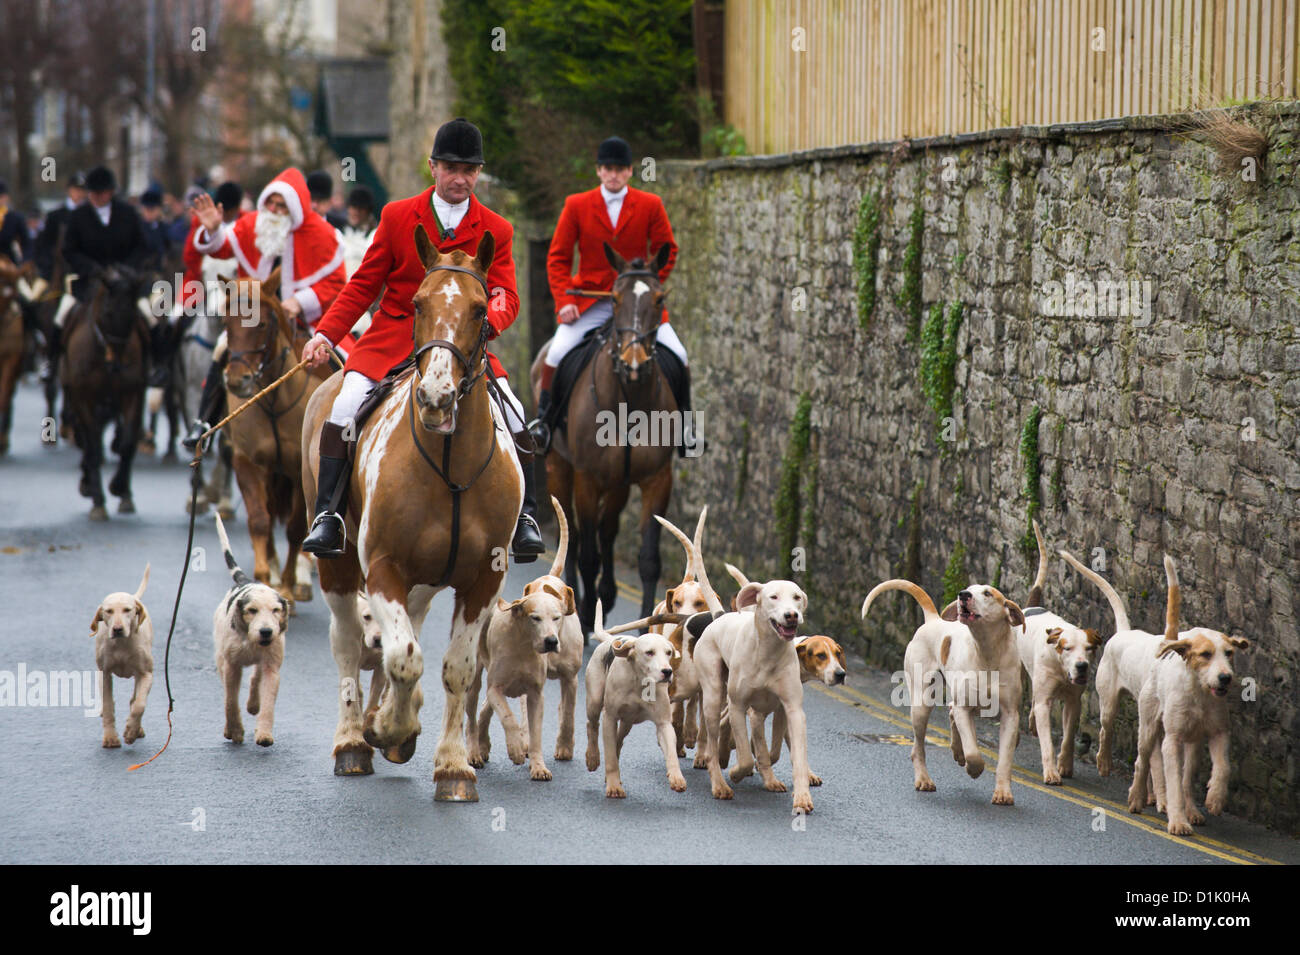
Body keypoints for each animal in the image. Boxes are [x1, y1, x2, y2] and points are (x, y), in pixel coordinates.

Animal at [61, 265, 150, 519]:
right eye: (108, 314)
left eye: (132, 315)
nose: (117, 366)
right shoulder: (83, 398)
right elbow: (92, 444)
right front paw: (97, 499)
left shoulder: (133, 394)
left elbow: (128, 442)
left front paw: (119, 488)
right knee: (88, 440)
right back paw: (89, 483)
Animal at [220, 268, 327, 605]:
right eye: (226, 323)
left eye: (262, 324)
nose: (237, 381)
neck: (274, 402)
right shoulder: (247, 463)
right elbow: (259, 521)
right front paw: (265, 579)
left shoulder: (298, 471)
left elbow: (295, 528)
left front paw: (290, 586)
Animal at [304, 227, 522, 805]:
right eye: (417, 304)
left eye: (480, 310)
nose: (435, 398)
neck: (450, 462)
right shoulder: (383, 567)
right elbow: (403, 655)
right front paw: (389, 728)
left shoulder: (483, 580)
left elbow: (456, 669)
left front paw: (452, 766)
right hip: (338, 566)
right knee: (350, 641)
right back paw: (354, 739)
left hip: (425, 581)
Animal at [527, 244, 676, 634]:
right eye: (614, 298)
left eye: (659, 299)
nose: (634, 363)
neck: (630, 399)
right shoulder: (588, 478)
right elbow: (587, 553)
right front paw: (582, 611)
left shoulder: (658, 479)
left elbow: (649, 559)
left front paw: (648, 626)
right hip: (560, 468)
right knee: (576, 536)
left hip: (618, 482)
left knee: (607, 531)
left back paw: (606, 597)